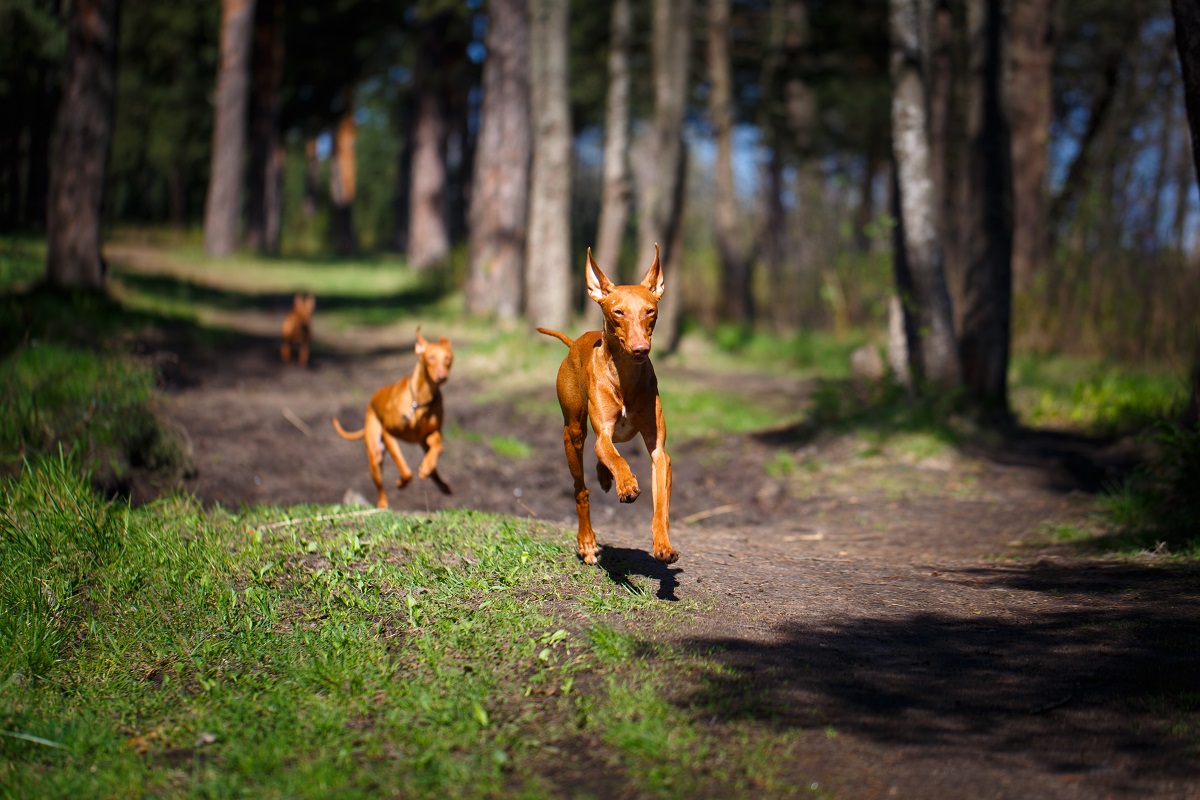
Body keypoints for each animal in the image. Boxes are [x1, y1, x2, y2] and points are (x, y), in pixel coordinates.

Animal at [331, 328, 451, 510]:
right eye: (430, 357)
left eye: (448, 359)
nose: (442, 376)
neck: (421, 401)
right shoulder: (388, 434)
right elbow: (405, 470)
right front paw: (401, 483)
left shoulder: (431, 434)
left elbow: (439, 447)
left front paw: (426, 467)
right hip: (375, 454)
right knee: (381, 487)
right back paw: (382, 503)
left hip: (421, 444)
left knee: (433, 465)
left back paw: (438, 479)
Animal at [537, 247, 676, 566]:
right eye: (618, 312)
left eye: (650, 311)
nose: (640, 349)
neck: (624, 377)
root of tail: (575, 343)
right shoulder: (600, 433)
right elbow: (615, 458)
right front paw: (627, 484)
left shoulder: (659, 451)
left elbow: (660, 503)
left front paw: (663, 545)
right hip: (573, 434)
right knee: (581, 488)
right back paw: (587, 542)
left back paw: (604, 475)